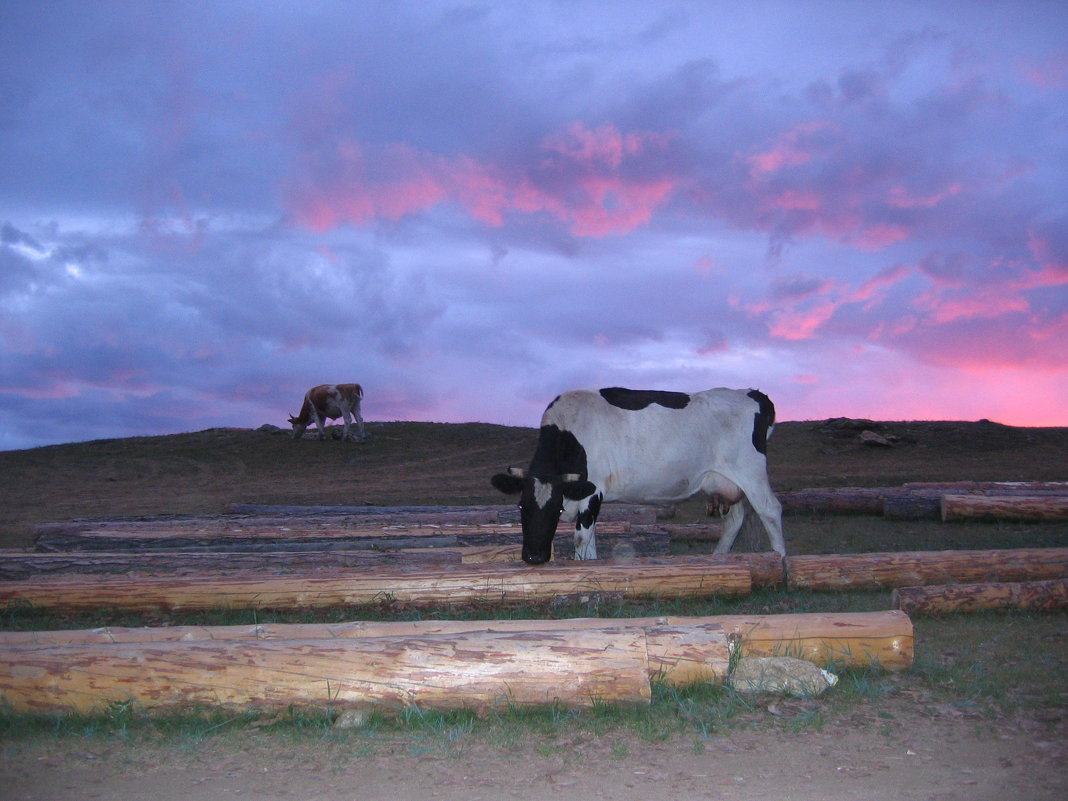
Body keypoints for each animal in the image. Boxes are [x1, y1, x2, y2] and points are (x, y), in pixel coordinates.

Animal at [491, 386, 786, 563]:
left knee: (770, 509)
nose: (534, 557)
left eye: (557, 509)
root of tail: (752, 393)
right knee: (735, 519)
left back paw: (781, 560)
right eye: (521, 506)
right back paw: (719, 558)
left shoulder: (593, 490)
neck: (570, 432)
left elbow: (582, 538)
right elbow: (591, 539)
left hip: (750, 471)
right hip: (724, 482)